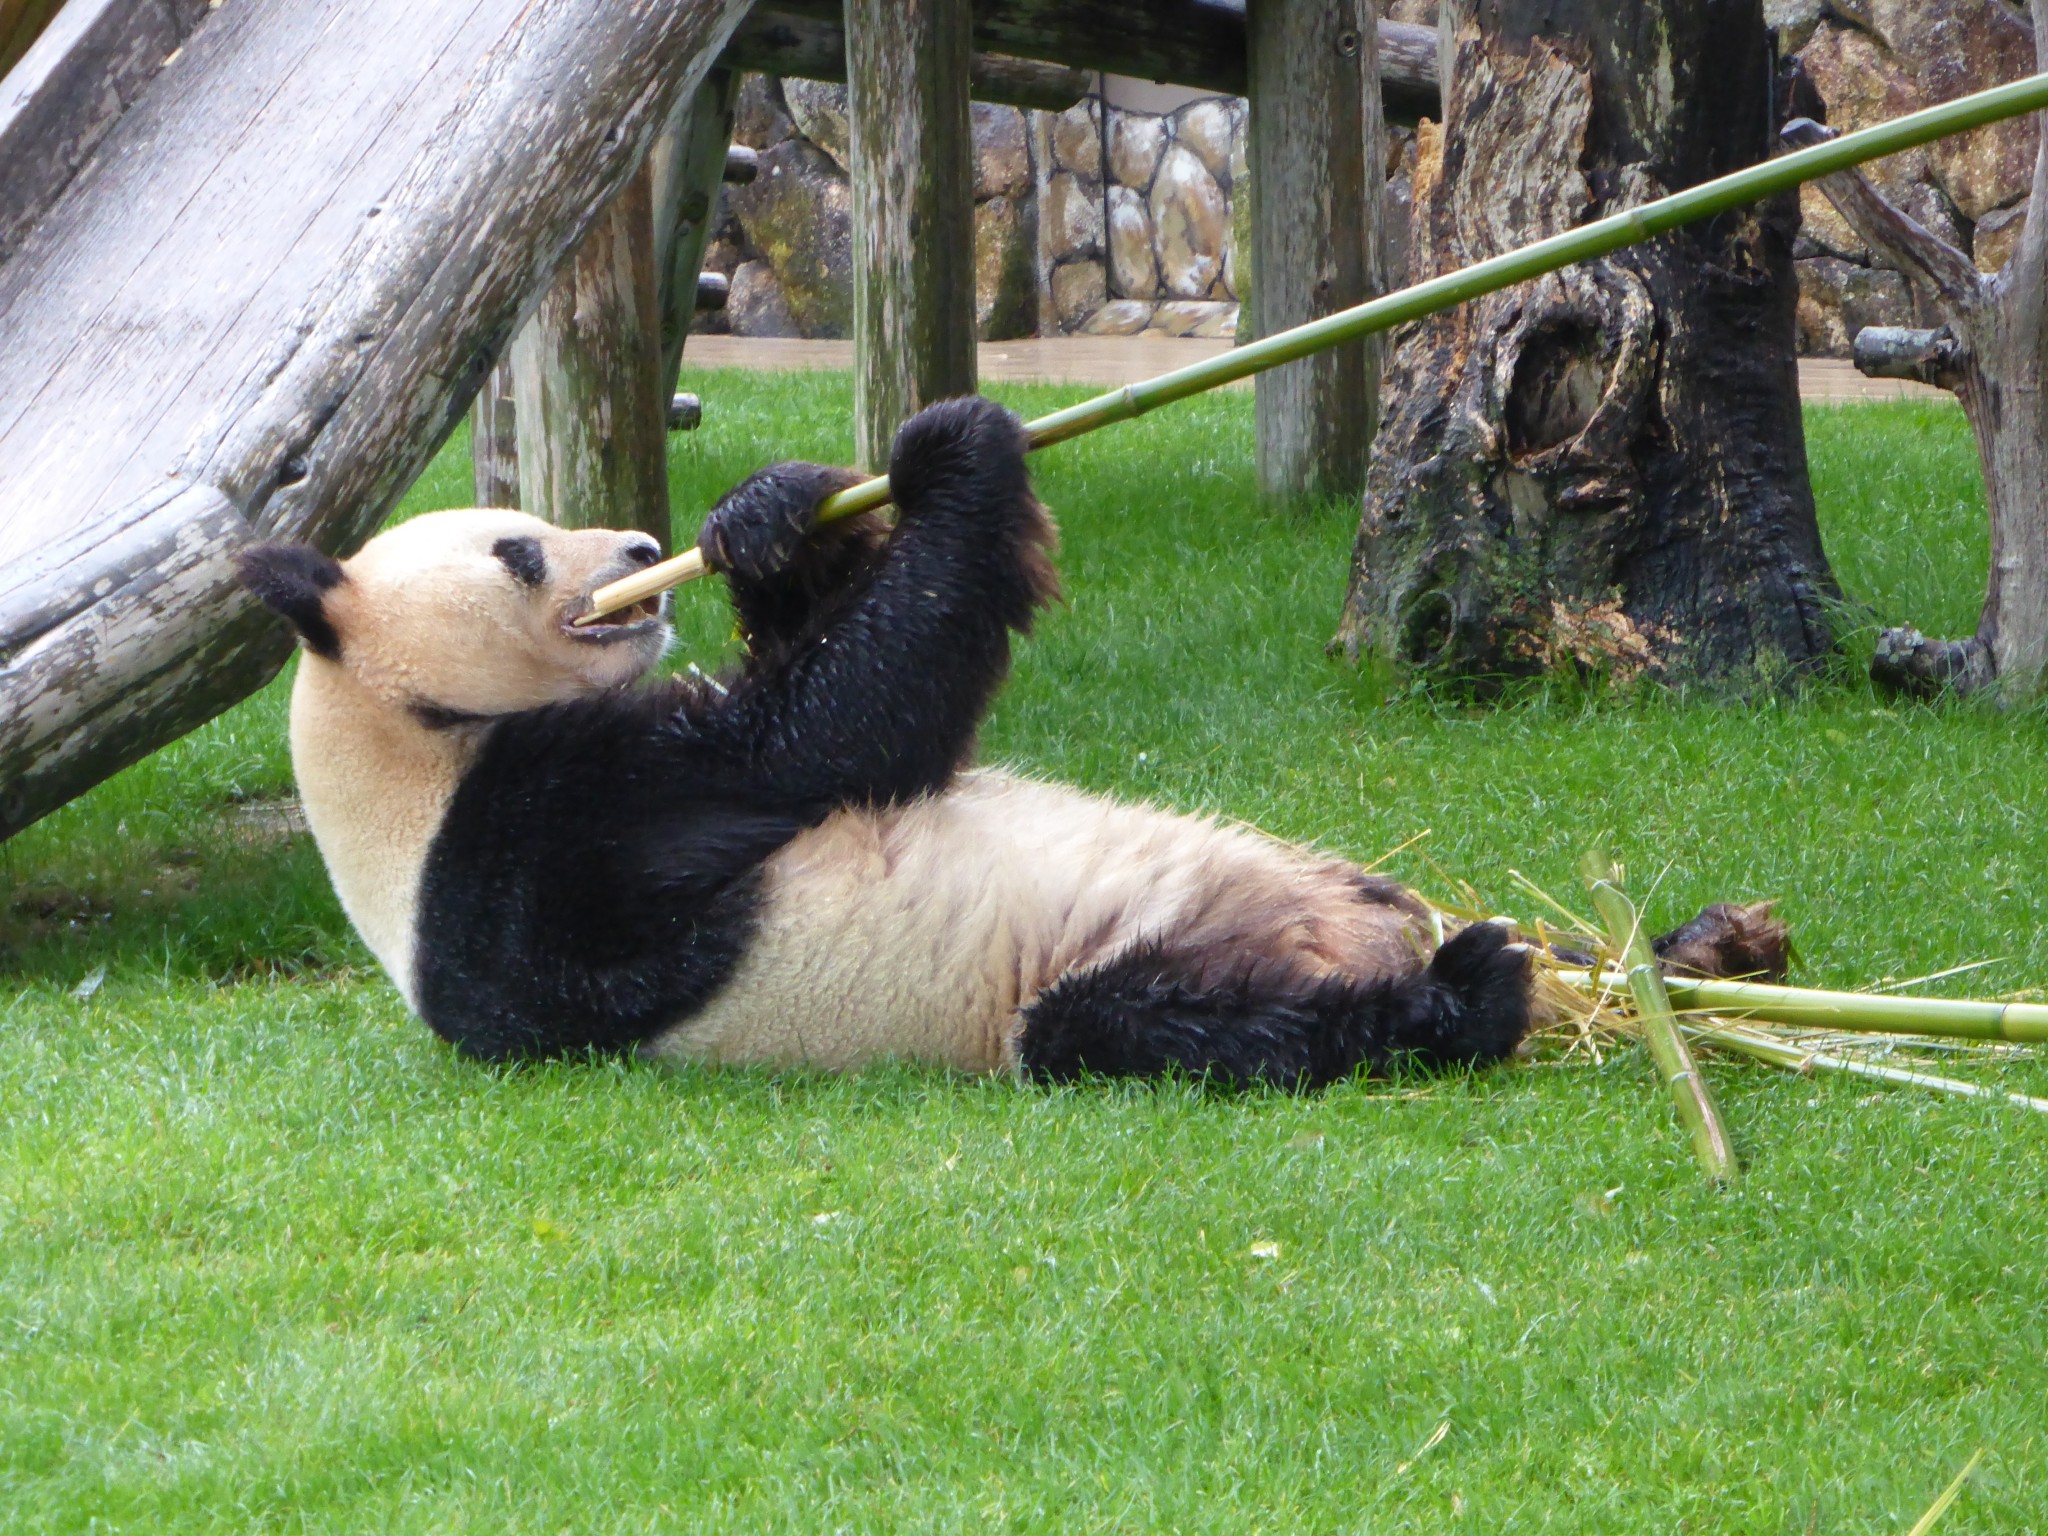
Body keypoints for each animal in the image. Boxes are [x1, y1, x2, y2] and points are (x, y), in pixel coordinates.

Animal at [236, 395, 1777, 1087]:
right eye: (514, 550)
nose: (627, 551)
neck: (397, 768)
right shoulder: (542, 838)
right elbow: (820, 742)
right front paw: (951, 449)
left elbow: (818, 665)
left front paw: (769, 516)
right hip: (1089, 990)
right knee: (1175, 1027)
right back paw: (1470, 994)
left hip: (1358, 879)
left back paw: (1684, 953)